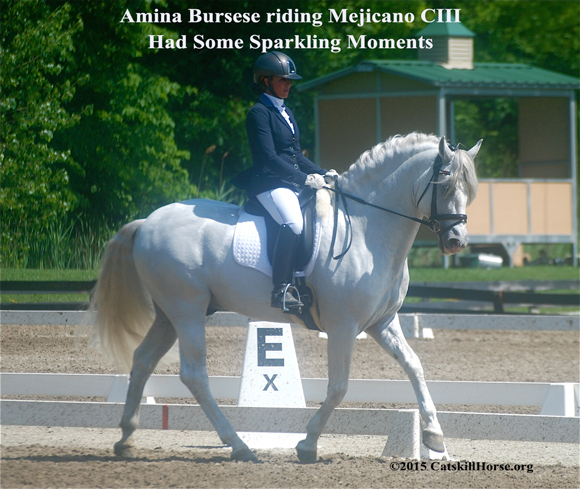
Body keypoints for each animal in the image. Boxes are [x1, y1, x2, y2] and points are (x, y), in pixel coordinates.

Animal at [89, 132, 480, 462]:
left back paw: (126, 440)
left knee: (142, 361)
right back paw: (239, 445)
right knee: (194, 374)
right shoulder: (343, 326)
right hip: (187, 310)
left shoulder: (382, 323)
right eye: (444, 183)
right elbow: (339, 387)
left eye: (469, 188)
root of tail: (147, 222)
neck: (367, 228)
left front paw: (434, 437)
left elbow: (414, 366)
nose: (456, 241)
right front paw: (307, 445)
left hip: (168, 314)